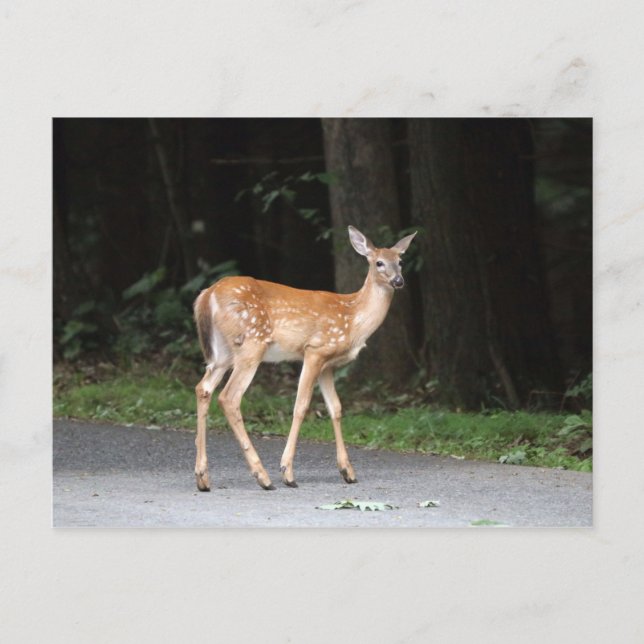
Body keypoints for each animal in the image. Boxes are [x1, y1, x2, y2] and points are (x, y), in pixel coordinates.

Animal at [192, 225, 416, 491]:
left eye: (400, 261)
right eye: (379, 262)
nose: (398, 281)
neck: (352, 319)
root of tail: (207, 295)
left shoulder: (328, 365)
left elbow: (336, 408)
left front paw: (347, 471)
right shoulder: (315, 350)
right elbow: (301, 406)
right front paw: (288, 472)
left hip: (223, 352)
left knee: (203, 388)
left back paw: (203, 478)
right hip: (252, 344)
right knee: (229, 397)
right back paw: (263, 477)